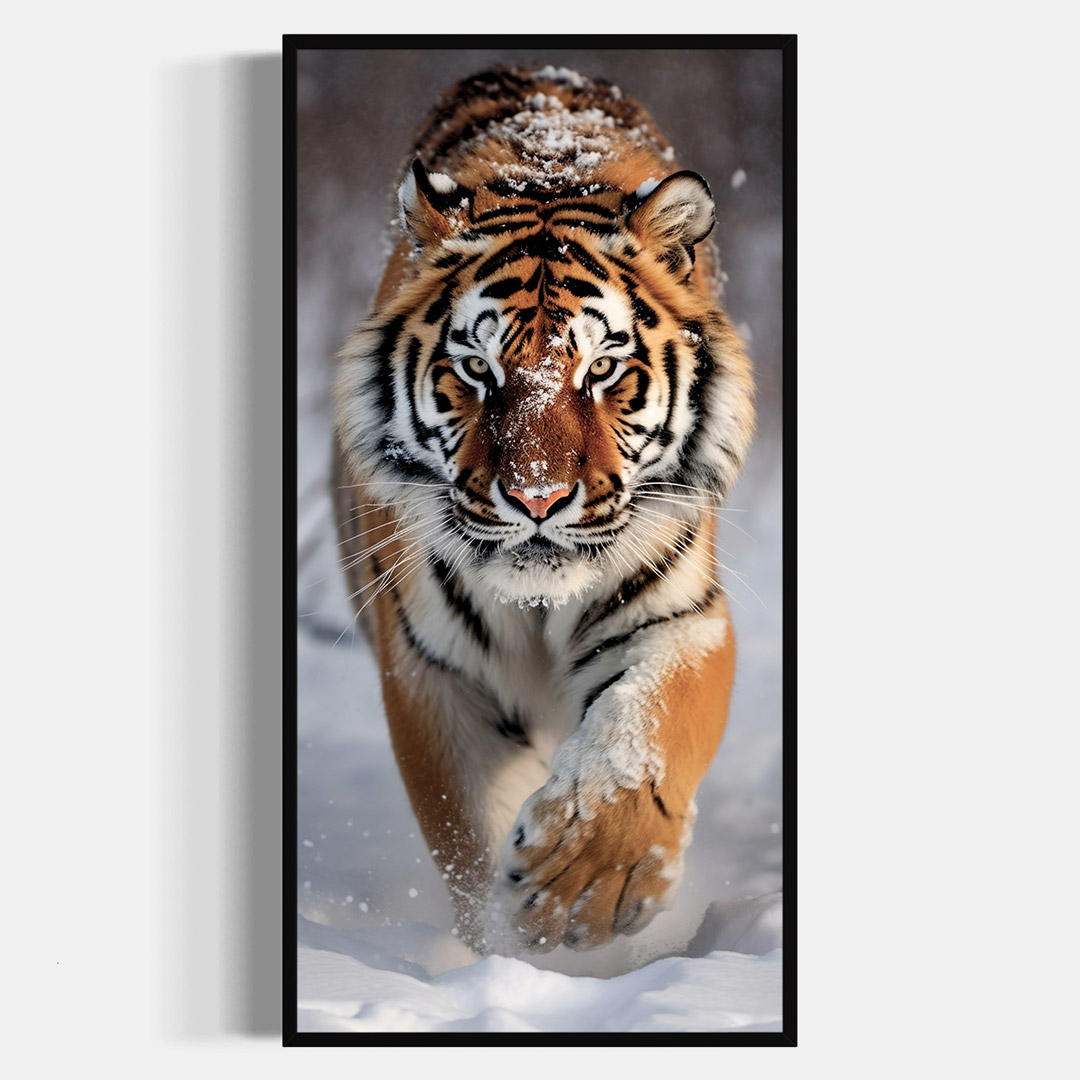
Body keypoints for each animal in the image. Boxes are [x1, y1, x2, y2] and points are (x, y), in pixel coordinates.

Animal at [332, 65, 755, 954]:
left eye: (602, 370)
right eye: (476, 369)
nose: (535, 496)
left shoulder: (680, 616)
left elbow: (645, 732)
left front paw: (583, 885)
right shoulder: (430, 664)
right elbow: (470, 827)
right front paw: (510, 950)